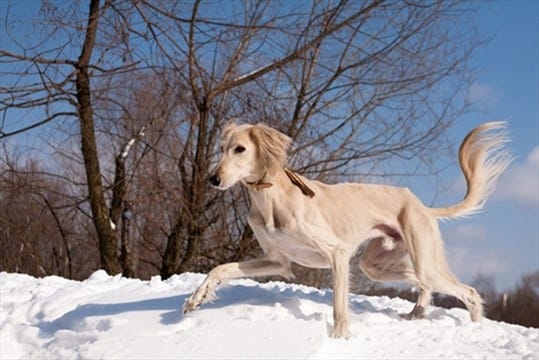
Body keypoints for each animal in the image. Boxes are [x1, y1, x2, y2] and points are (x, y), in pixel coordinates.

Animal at [184, 121, 512, 338]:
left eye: (240, 149)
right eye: (221, 149)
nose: (213, 179)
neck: (271, 199)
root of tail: (422, 206)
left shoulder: (338, 253)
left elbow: (339, 306)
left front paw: (339, 338)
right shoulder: (277, 261)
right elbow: (220, 270)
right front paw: (195, 299)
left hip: (421, 259)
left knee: (468, 291)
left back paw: (475, 327)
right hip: (376, 264)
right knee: (423, 283)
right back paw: (417, 312)